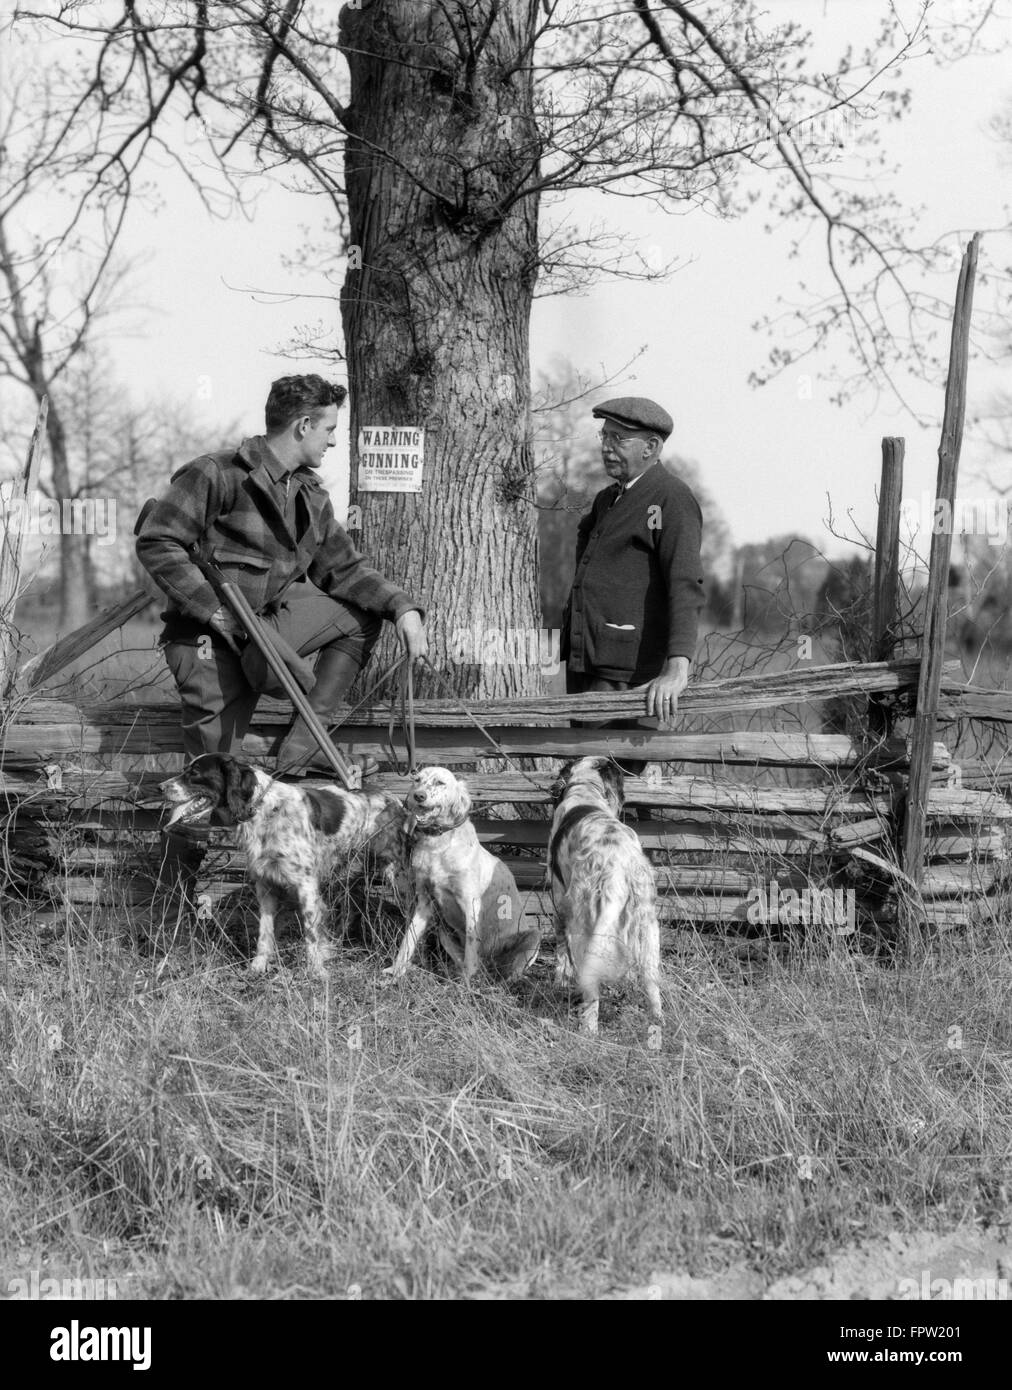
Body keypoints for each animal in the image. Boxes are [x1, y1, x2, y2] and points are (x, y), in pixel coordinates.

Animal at [159, 756, 405, 973]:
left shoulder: (306, 885)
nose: (160, 787)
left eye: (195, 772)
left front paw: (316, 971)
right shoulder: (266, 885)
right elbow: (265, 931)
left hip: (392, 872)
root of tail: (395, 799)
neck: (263, 811)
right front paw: (258, 965)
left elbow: (311, 933)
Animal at [380, 767, 536, 984]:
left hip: (533, 937)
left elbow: (471, 949)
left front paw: (467, 983)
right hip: (443, 931)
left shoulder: (470, 904)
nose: (418, 796)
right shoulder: (424, 901)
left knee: (505, 973)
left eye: (440, 782)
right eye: (416, 780)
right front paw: (395, 971)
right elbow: (408, 940)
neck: (438, 845)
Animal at [544, 761, 664, 1034]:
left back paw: (588, 1030)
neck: (586, 790)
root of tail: (619, 862)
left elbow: (561, 953)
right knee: (651, 981)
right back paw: (658, 1021)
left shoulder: (560, 901)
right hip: (647, 923)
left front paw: (559, 982)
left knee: (590, 988)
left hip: (583, 921)